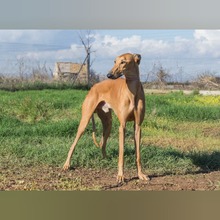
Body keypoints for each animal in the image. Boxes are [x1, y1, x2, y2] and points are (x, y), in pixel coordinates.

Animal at [62, 52, 148, 182]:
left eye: (123, 62)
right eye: (114, 61)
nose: (109, 75)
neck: (132, 91)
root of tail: (93, 87)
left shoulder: (138, 126)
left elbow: (138, 154)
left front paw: (140, 174)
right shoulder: (122, 126)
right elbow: (121, 153)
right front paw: (120, 176)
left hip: (108, 123)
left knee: (102, 143)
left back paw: (105, 159)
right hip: (85, 121)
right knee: (74, 144)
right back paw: (67, 164)